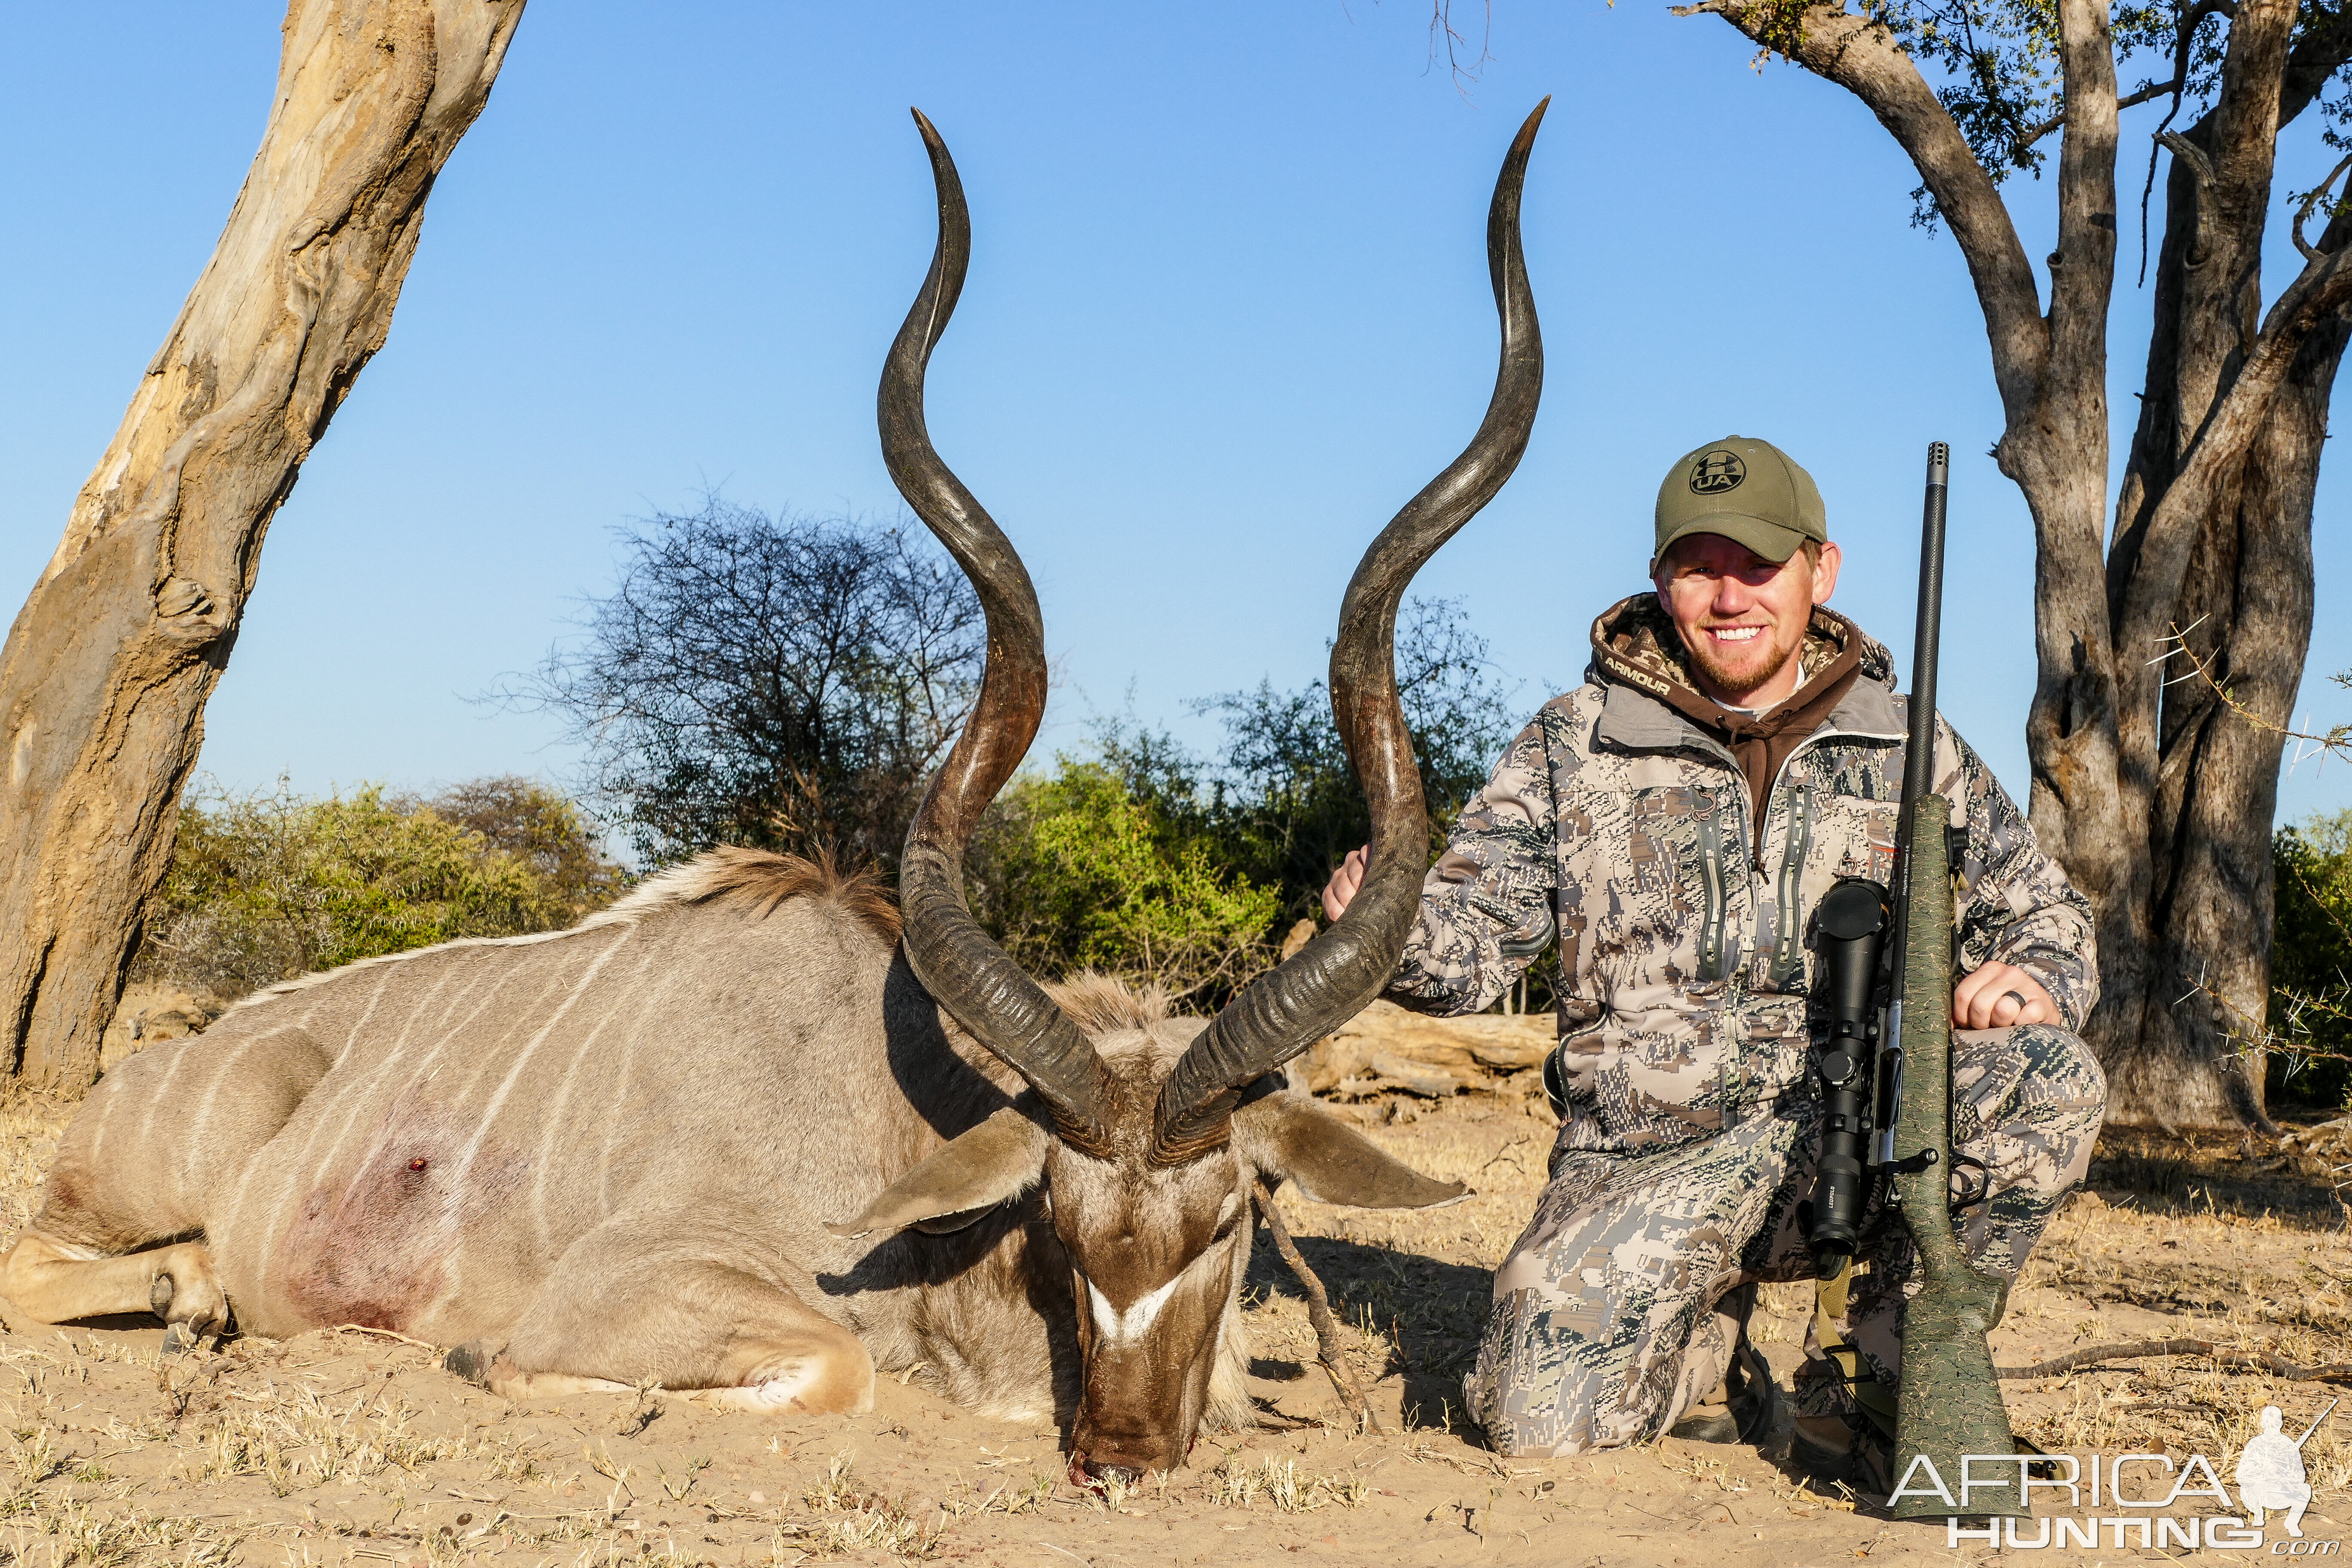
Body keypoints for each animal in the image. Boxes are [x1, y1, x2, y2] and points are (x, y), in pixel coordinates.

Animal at [0, 104, 1552, 1476]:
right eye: (1055, 1214)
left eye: (1231, 1218)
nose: (1118, 1451)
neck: (883, 1121)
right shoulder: (658, 1284)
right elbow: (827, 1363)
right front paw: (484, 1358)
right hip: (115, 1192)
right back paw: (190, 1299)